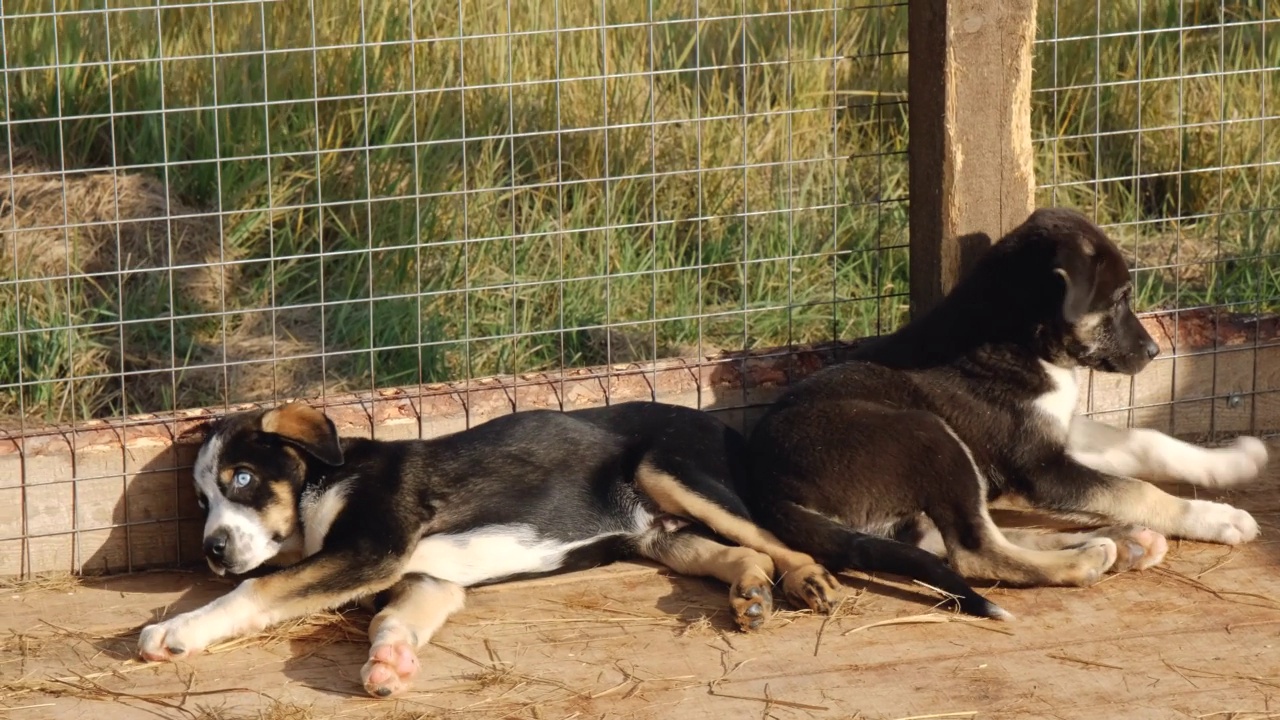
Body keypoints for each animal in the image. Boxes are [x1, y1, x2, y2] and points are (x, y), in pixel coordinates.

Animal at [140, 399, 844, 691]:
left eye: (242, 479)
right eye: (199, 502)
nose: (213, 550)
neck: (321, 481)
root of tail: (726, 428)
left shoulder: (373, 546)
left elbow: (259, 587)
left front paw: (176, 630)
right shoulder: (422, 576)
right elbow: (395, 620)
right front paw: (391, 662)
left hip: (668, 471)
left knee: (776, 542)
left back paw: (808, 581)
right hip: (660, 535)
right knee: (746, 553)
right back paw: (752, 595)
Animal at [742, 204, 1269, 597]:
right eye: (1119, 298)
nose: (1155, 351)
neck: (1020, 341)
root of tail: (767, 485)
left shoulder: (1057, 436)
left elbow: (1148, 441)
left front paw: (1234, 462)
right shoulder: (1038, 469)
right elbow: (1137, 490)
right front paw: (1217, 517)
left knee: (951, 540)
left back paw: (1119, 542)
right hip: (930, 435)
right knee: (974, 552)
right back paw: (1087, 558)